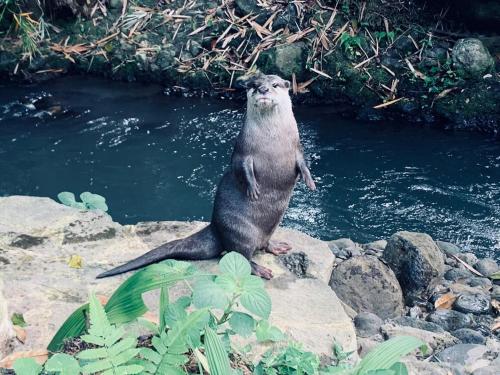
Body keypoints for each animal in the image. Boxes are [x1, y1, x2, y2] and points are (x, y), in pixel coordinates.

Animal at [96, 74, 316, 280]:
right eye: (254, 85)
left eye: (275, 85)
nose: (262, 89)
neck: (272, 138)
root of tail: (215, 228)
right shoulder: (242, 150)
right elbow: (241, 167)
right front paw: (253, 188)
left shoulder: (297, 148)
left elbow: (303, 163)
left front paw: (311, 182)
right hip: (240, 232)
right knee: (240, 255)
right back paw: (260, 270)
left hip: (267, 230)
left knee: (262, 244)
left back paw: (277, 247)